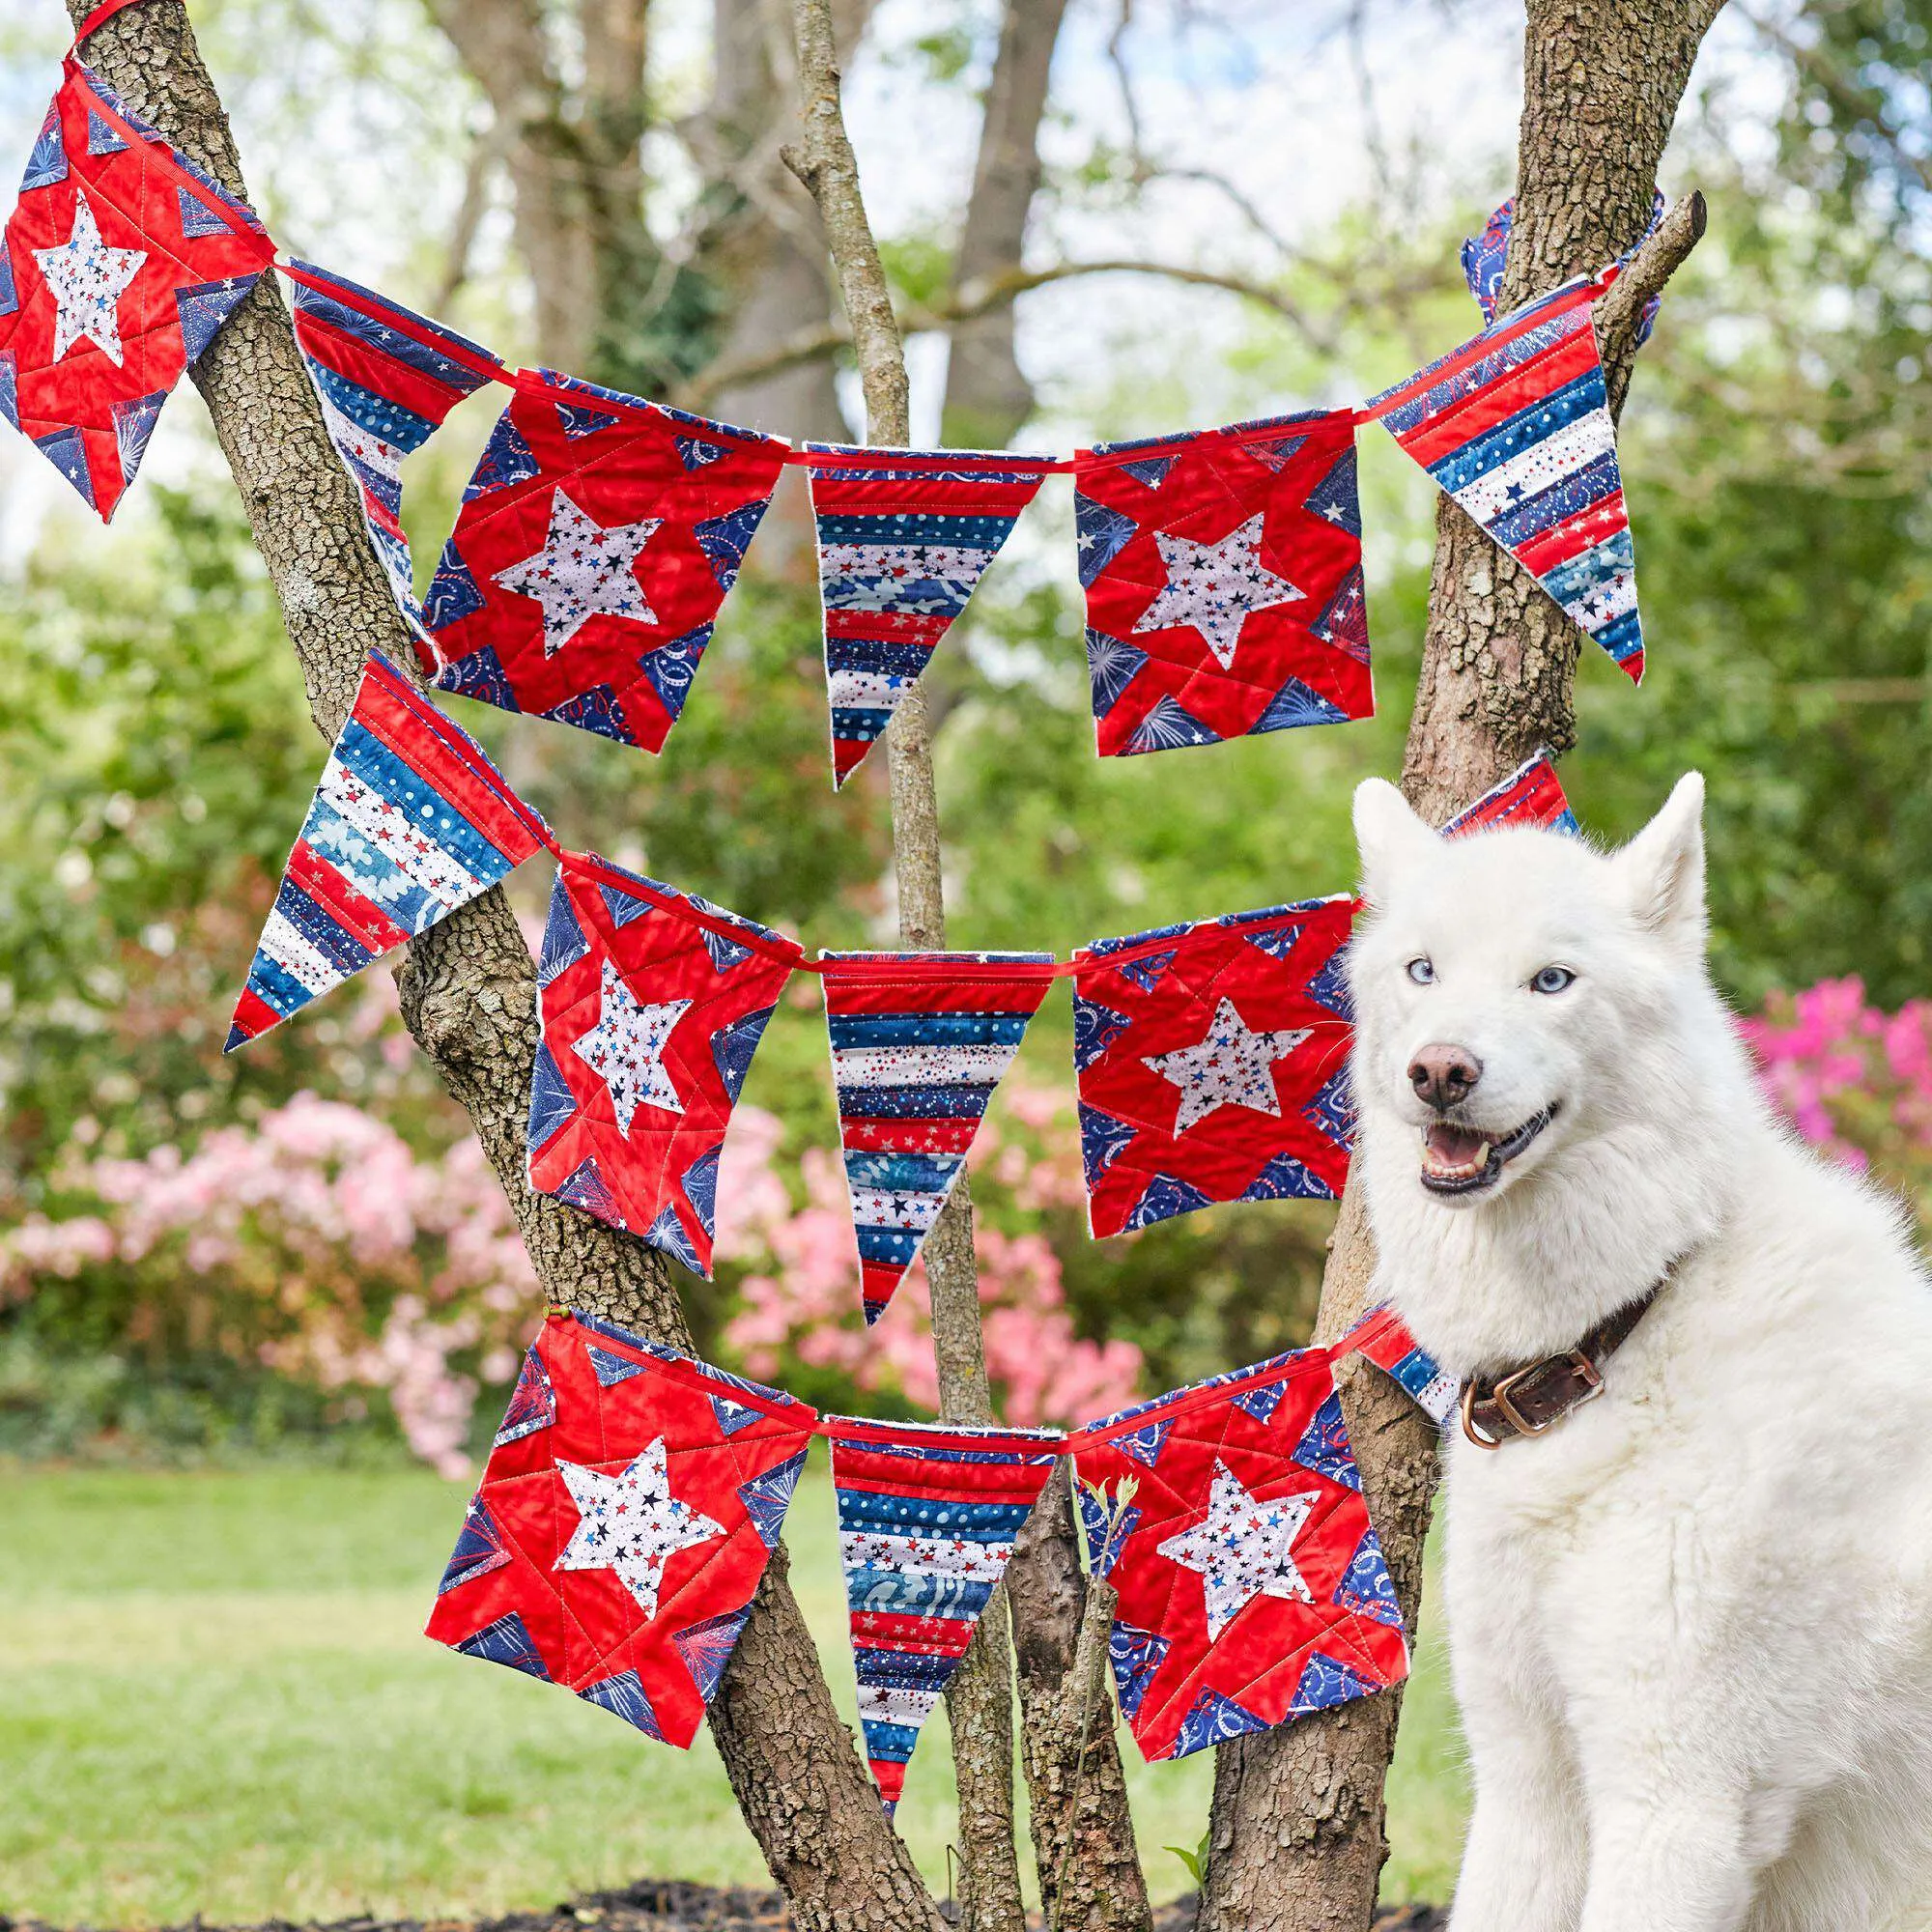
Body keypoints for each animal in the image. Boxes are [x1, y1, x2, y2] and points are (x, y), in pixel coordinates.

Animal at [1345, 773, 1932, 1932]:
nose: (1439, 1070)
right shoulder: (1526, 1793)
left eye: (1550, 980)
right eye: (1422, 969)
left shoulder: (1675, 1808)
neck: (1623, 1328)